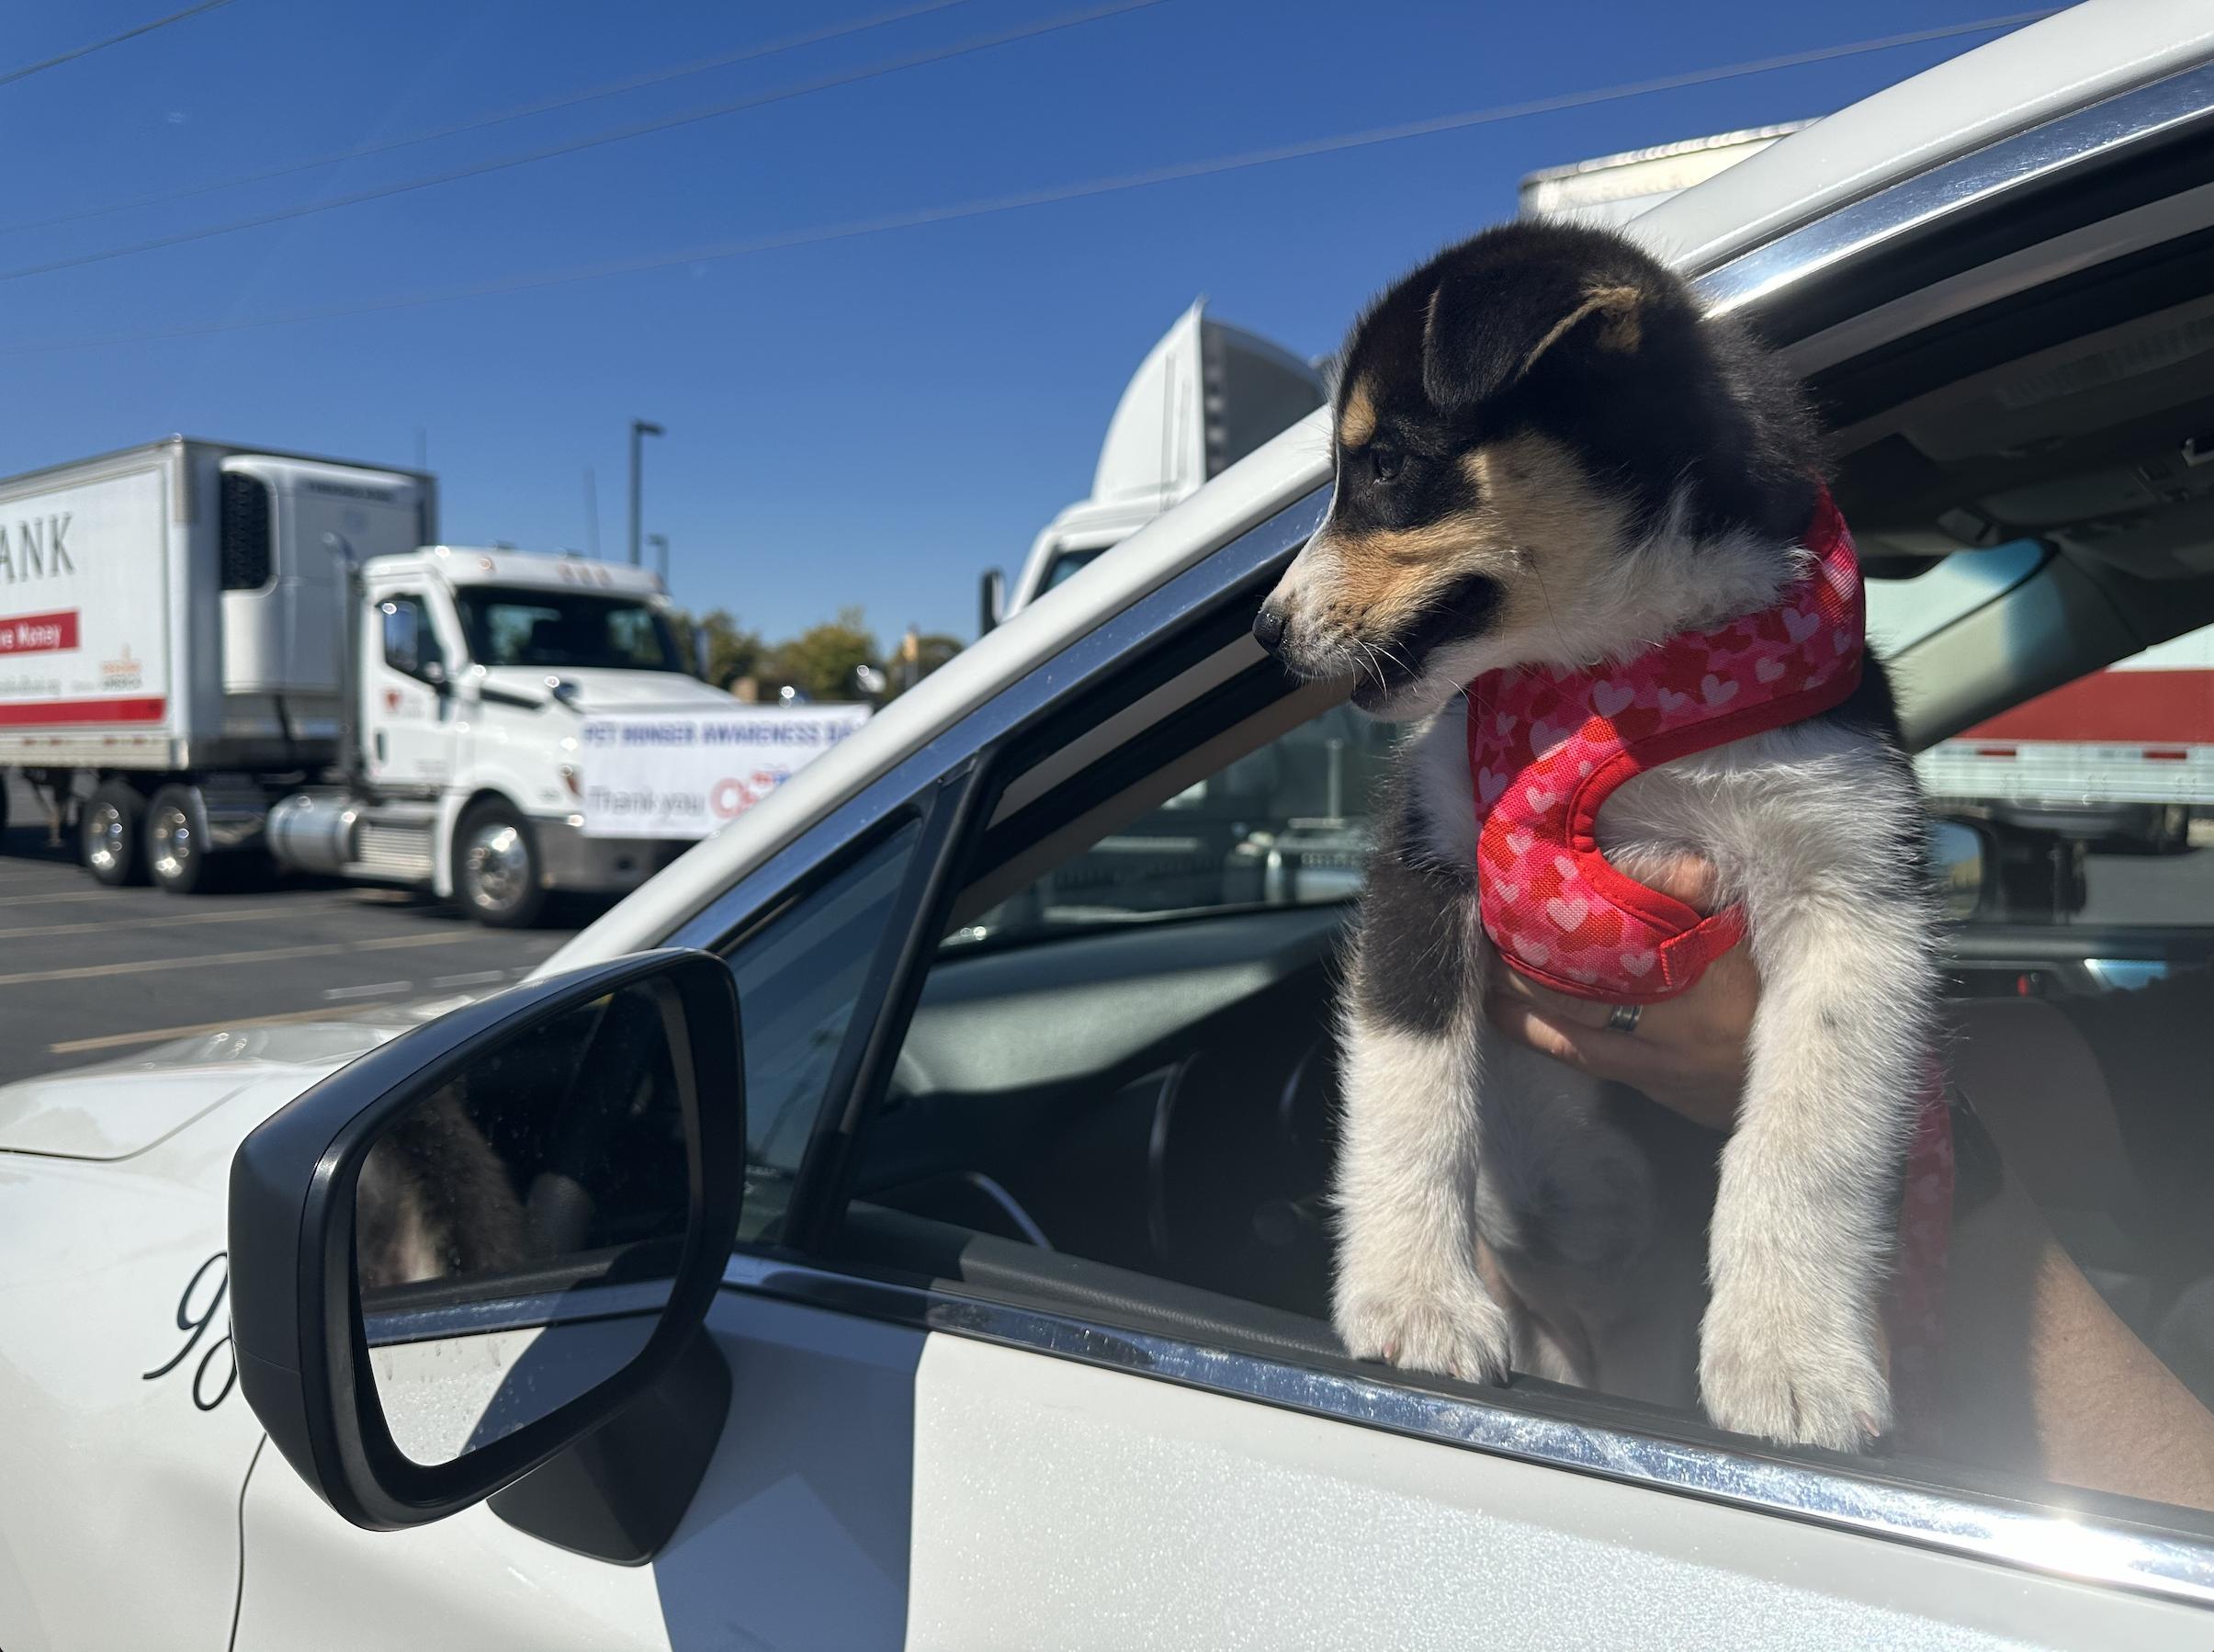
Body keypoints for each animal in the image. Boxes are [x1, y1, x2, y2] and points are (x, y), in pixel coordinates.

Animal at [1257, 222, 1948, 1443]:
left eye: (1385, 467)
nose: (1264, 633)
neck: (1607, 676)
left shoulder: (1855, 894)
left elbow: (1805, 1139)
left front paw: (1789, 1361)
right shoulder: (1425, 858)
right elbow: (1408, 1091)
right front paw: (1413, 1301)